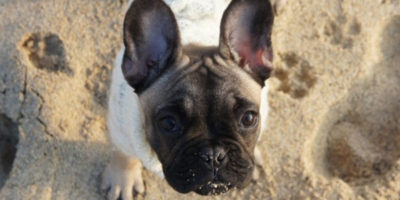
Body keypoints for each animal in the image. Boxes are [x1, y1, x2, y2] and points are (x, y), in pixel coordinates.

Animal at [101, 0, 276, 198]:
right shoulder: (121, 130)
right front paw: (123, 179)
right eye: (168, 123)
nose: (213, 155)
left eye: (248, 118)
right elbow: (124, 154)